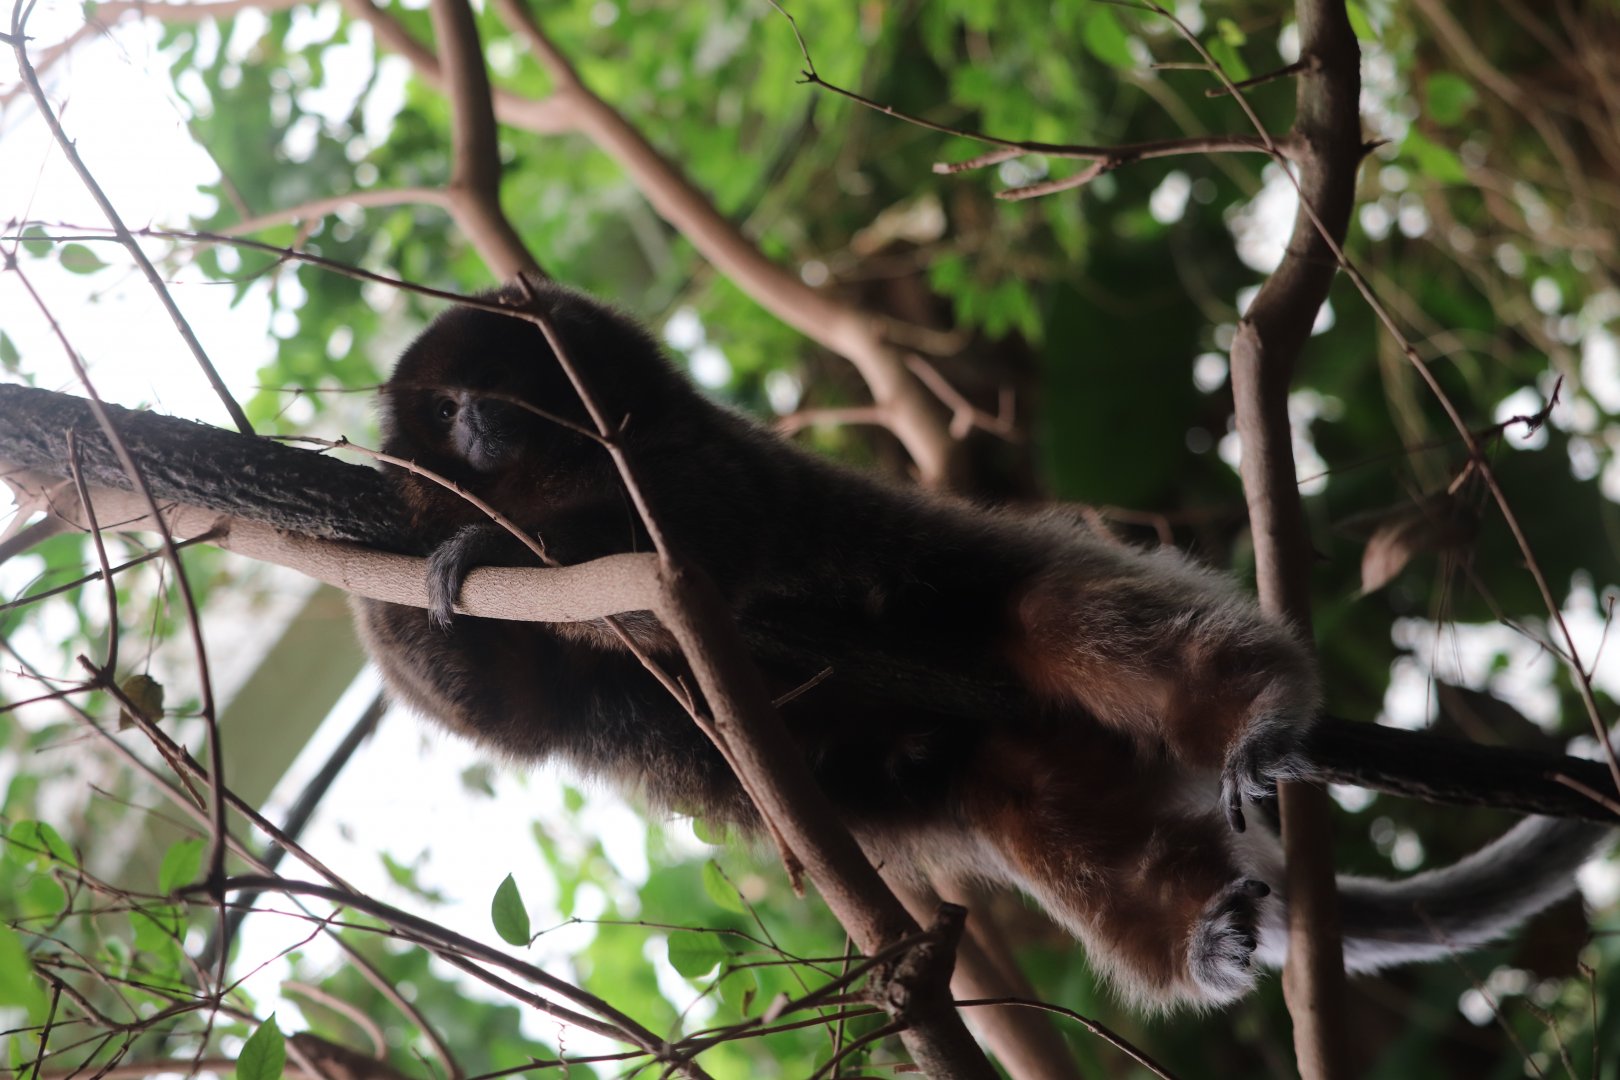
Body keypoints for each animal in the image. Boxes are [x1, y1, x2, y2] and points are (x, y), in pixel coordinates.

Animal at [354, 283, 1613, 1011]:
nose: (477, 424)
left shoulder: (694, 462)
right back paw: (1199, 927)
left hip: (991, 592)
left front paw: (485, 542)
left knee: (1056, 614)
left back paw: (1252, 707)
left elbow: (682, 553)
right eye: (448, 406)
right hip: (1017, 762)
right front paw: (424, 572)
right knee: (1020, 802)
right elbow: (503, 703)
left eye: (500, 387)